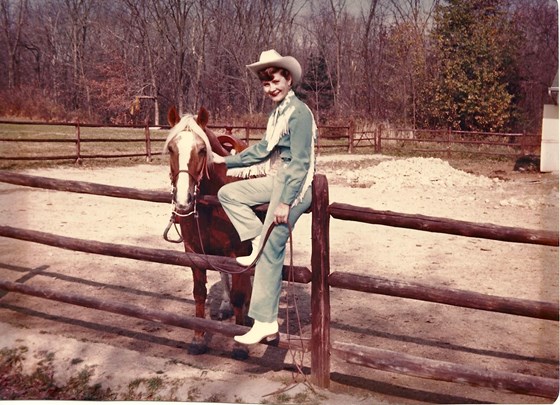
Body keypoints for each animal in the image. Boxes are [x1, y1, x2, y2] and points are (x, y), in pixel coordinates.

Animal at [162, 106, 254, 356]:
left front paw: (239, 344)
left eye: (202, 150)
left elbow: (239, 293)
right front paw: (198, 338)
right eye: (171, 149)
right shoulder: (194, 251)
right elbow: (199, 293)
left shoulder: (239, 250)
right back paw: (224, 307)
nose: (183, 200)